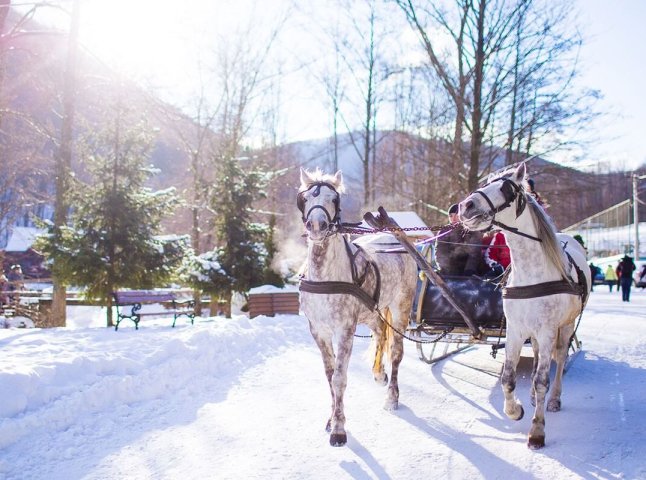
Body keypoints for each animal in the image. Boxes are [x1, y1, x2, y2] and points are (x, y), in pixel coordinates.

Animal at [300, 169, 420, 446]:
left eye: (334, 199)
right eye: (305, 198)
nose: (317, 226)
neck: (325, 276)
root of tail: (392, 238)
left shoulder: (345, 329)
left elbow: (339, 377)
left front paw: (338, 429)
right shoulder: (318, 330)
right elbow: (329, 374)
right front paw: (331, 418)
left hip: (401, 308)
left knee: (396, 352)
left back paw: (392, 397)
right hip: (371, 312)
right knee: (380, 333)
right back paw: (378, 374)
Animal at [460, 163, 592, 448]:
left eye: (506, 188)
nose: (465, 206)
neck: (532, 272)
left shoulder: (547, 330)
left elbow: (543, 379)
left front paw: (537, 431)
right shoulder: (515, 330)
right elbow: (508, 378)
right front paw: (515, 410)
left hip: (565, 326)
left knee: (559, 360)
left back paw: (553, 399)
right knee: (539, 359)